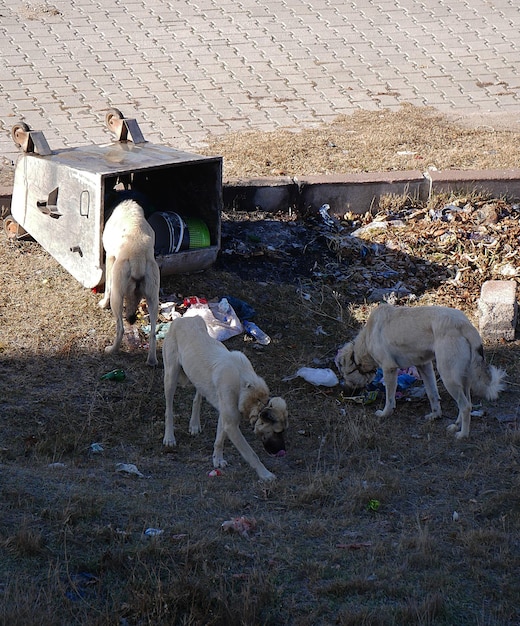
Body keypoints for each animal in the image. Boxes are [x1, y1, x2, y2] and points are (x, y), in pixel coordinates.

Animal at [98, 197, 159, 366]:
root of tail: (138, 258)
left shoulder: (109, 257)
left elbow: (107, 286)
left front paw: (103, 303)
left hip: (117, 297)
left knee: (121, 329)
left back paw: (112, 350)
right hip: (153, 299)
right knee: (153, 333)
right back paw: (152, 360)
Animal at [162, 314, 288, 480]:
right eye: (277, 432)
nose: (282, 452)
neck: (246, 387)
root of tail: (183, 318)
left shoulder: (226, 416)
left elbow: (219, 440)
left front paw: (217, 459)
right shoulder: (232, 425)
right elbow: (251, 454)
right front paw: (265, 474)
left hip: (198, 376)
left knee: (197, 398)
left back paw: (194, 424)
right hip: (171, 376)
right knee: (169, 410)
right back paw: (169, 437)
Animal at [336, 304, 506, 436]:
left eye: (345, 374)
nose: (343, 391)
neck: (364, 344)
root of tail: (464, 324)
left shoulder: (389, 369)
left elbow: (389, 398)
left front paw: (385, 413)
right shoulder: (424, 366)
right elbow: (432, 393)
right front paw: (436, 415)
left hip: (448, 376)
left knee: (465, 406)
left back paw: (463, 434)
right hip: (463, 377)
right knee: (466, 402)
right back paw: (456, 426)